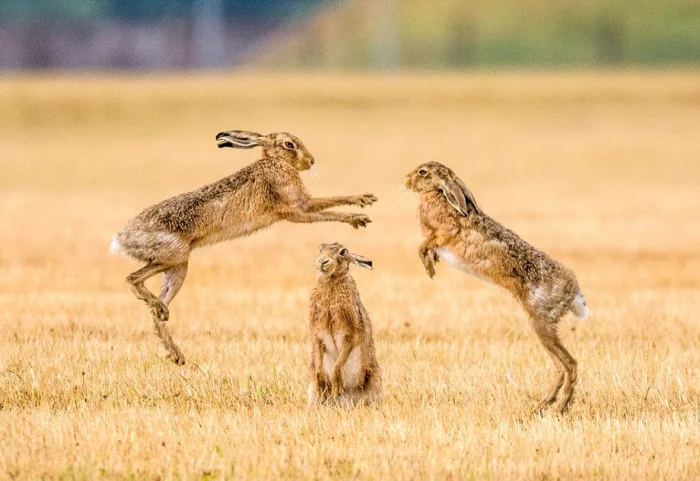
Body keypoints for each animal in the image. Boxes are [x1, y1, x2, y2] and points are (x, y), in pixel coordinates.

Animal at [110, 130, 377, 365]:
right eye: (289, 144)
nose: (310, 161)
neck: (275, 162)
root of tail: (122, 239)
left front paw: (363, 203)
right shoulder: (298, 208)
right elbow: (328, 206)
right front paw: (359, 214)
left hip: (178, 268)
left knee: (155, 313)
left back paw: (175, 352)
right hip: (174, 253)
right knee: (132, 278)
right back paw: (160, 314)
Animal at [307, 243, 383, 407]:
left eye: (342, 252)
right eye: (320, 249)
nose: (322, 262)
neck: (331, 281)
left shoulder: (351, 334)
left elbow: (338, 364)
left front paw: (337, 387)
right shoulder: (317, 334)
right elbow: (319, 367)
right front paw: (324, 385)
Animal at [405, 161, 588, 414]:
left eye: (423, 172)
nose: (406, 180)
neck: (439, 194)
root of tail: (574, 292)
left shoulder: (445, 233)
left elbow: (425, 244)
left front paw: (429, 266)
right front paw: (432, 264)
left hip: (540, 321)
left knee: (569, 364)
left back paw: (560, 407)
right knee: (561, 366)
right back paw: (543, 405)